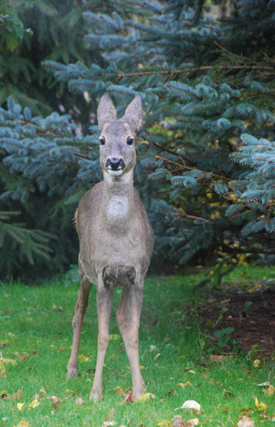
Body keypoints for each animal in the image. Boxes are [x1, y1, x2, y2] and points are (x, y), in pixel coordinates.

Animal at [66, 93, 154, 402]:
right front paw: (95, 393)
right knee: (78, 312)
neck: (117, 240)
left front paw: (139, 391)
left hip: (121, 281)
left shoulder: (138, 274)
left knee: (119, 318)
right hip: (83, 267)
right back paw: (71, 369)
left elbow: (132, 331)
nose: (115, 161)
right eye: (101, 139)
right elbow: (103, 336)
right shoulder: (102, 274)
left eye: (130, 139)